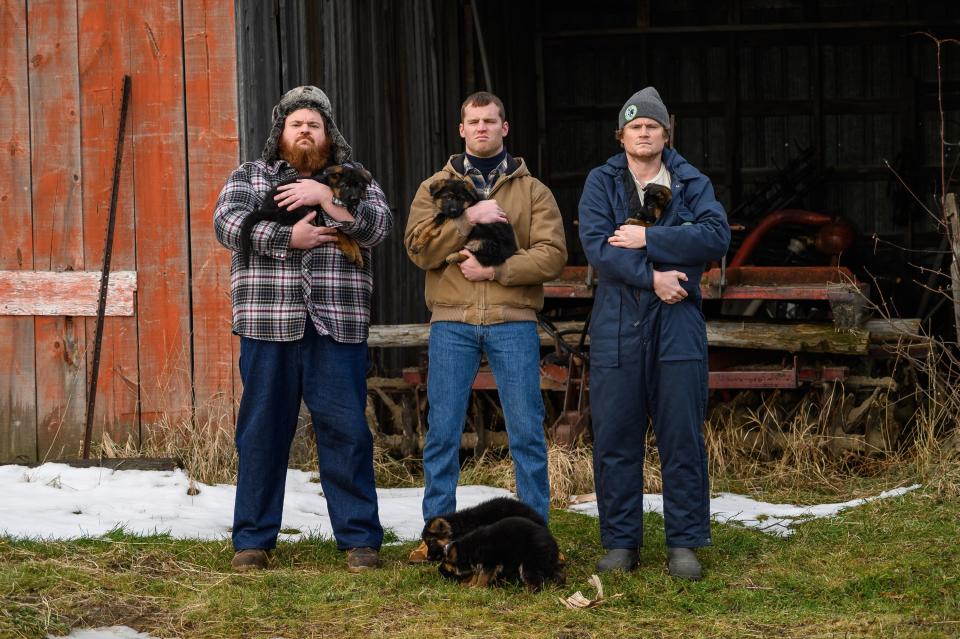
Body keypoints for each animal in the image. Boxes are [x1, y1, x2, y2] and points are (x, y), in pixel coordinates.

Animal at [238, 165, 374, 268]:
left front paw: (358, 255)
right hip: (301, 207)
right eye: (345, 185)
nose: (355, 199)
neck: (329, 187)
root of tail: (269, 209)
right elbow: (340, 234)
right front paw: (350, 251)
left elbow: (351, 237)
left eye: (360, 186)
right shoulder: (324, 218)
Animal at [438, 516, 568, 592]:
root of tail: (552, 541)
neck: (468, 548)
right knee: (559, 573)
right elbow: (476, 574)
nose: (439, 570)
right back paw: (557, 586)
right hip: (544, 562)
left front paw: (477, 588)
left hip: (529, 564)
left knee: (535, 584)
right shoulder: (480, 565)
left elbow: (482, 577)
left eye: (445, 561)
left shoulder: (489, 564)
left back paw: (525, 594)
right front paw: (469, 584)